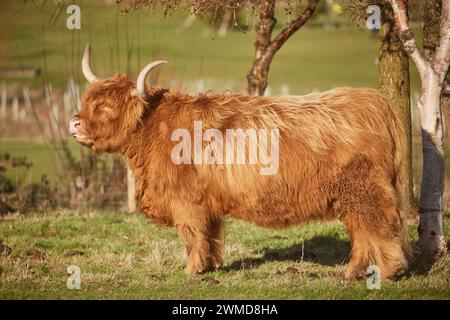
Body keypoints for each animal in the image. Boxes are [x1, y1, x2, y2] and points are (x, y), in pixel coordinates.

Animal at [70, 45, 412, 280]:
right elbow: (210, 234)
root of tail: (375, 102)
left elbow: (191, 235)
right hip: (349, 195)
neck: (154, 127)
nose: (74, 124)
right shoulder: (206, 202)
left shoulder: (185, 201)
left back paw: (390, 271)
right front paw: (211, 266)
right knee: (361, 231)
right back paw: (352, 272)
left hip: (365, 189)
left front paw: (191, 270)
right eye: (88, 101)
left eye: (106, 109)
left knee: (379, 225)